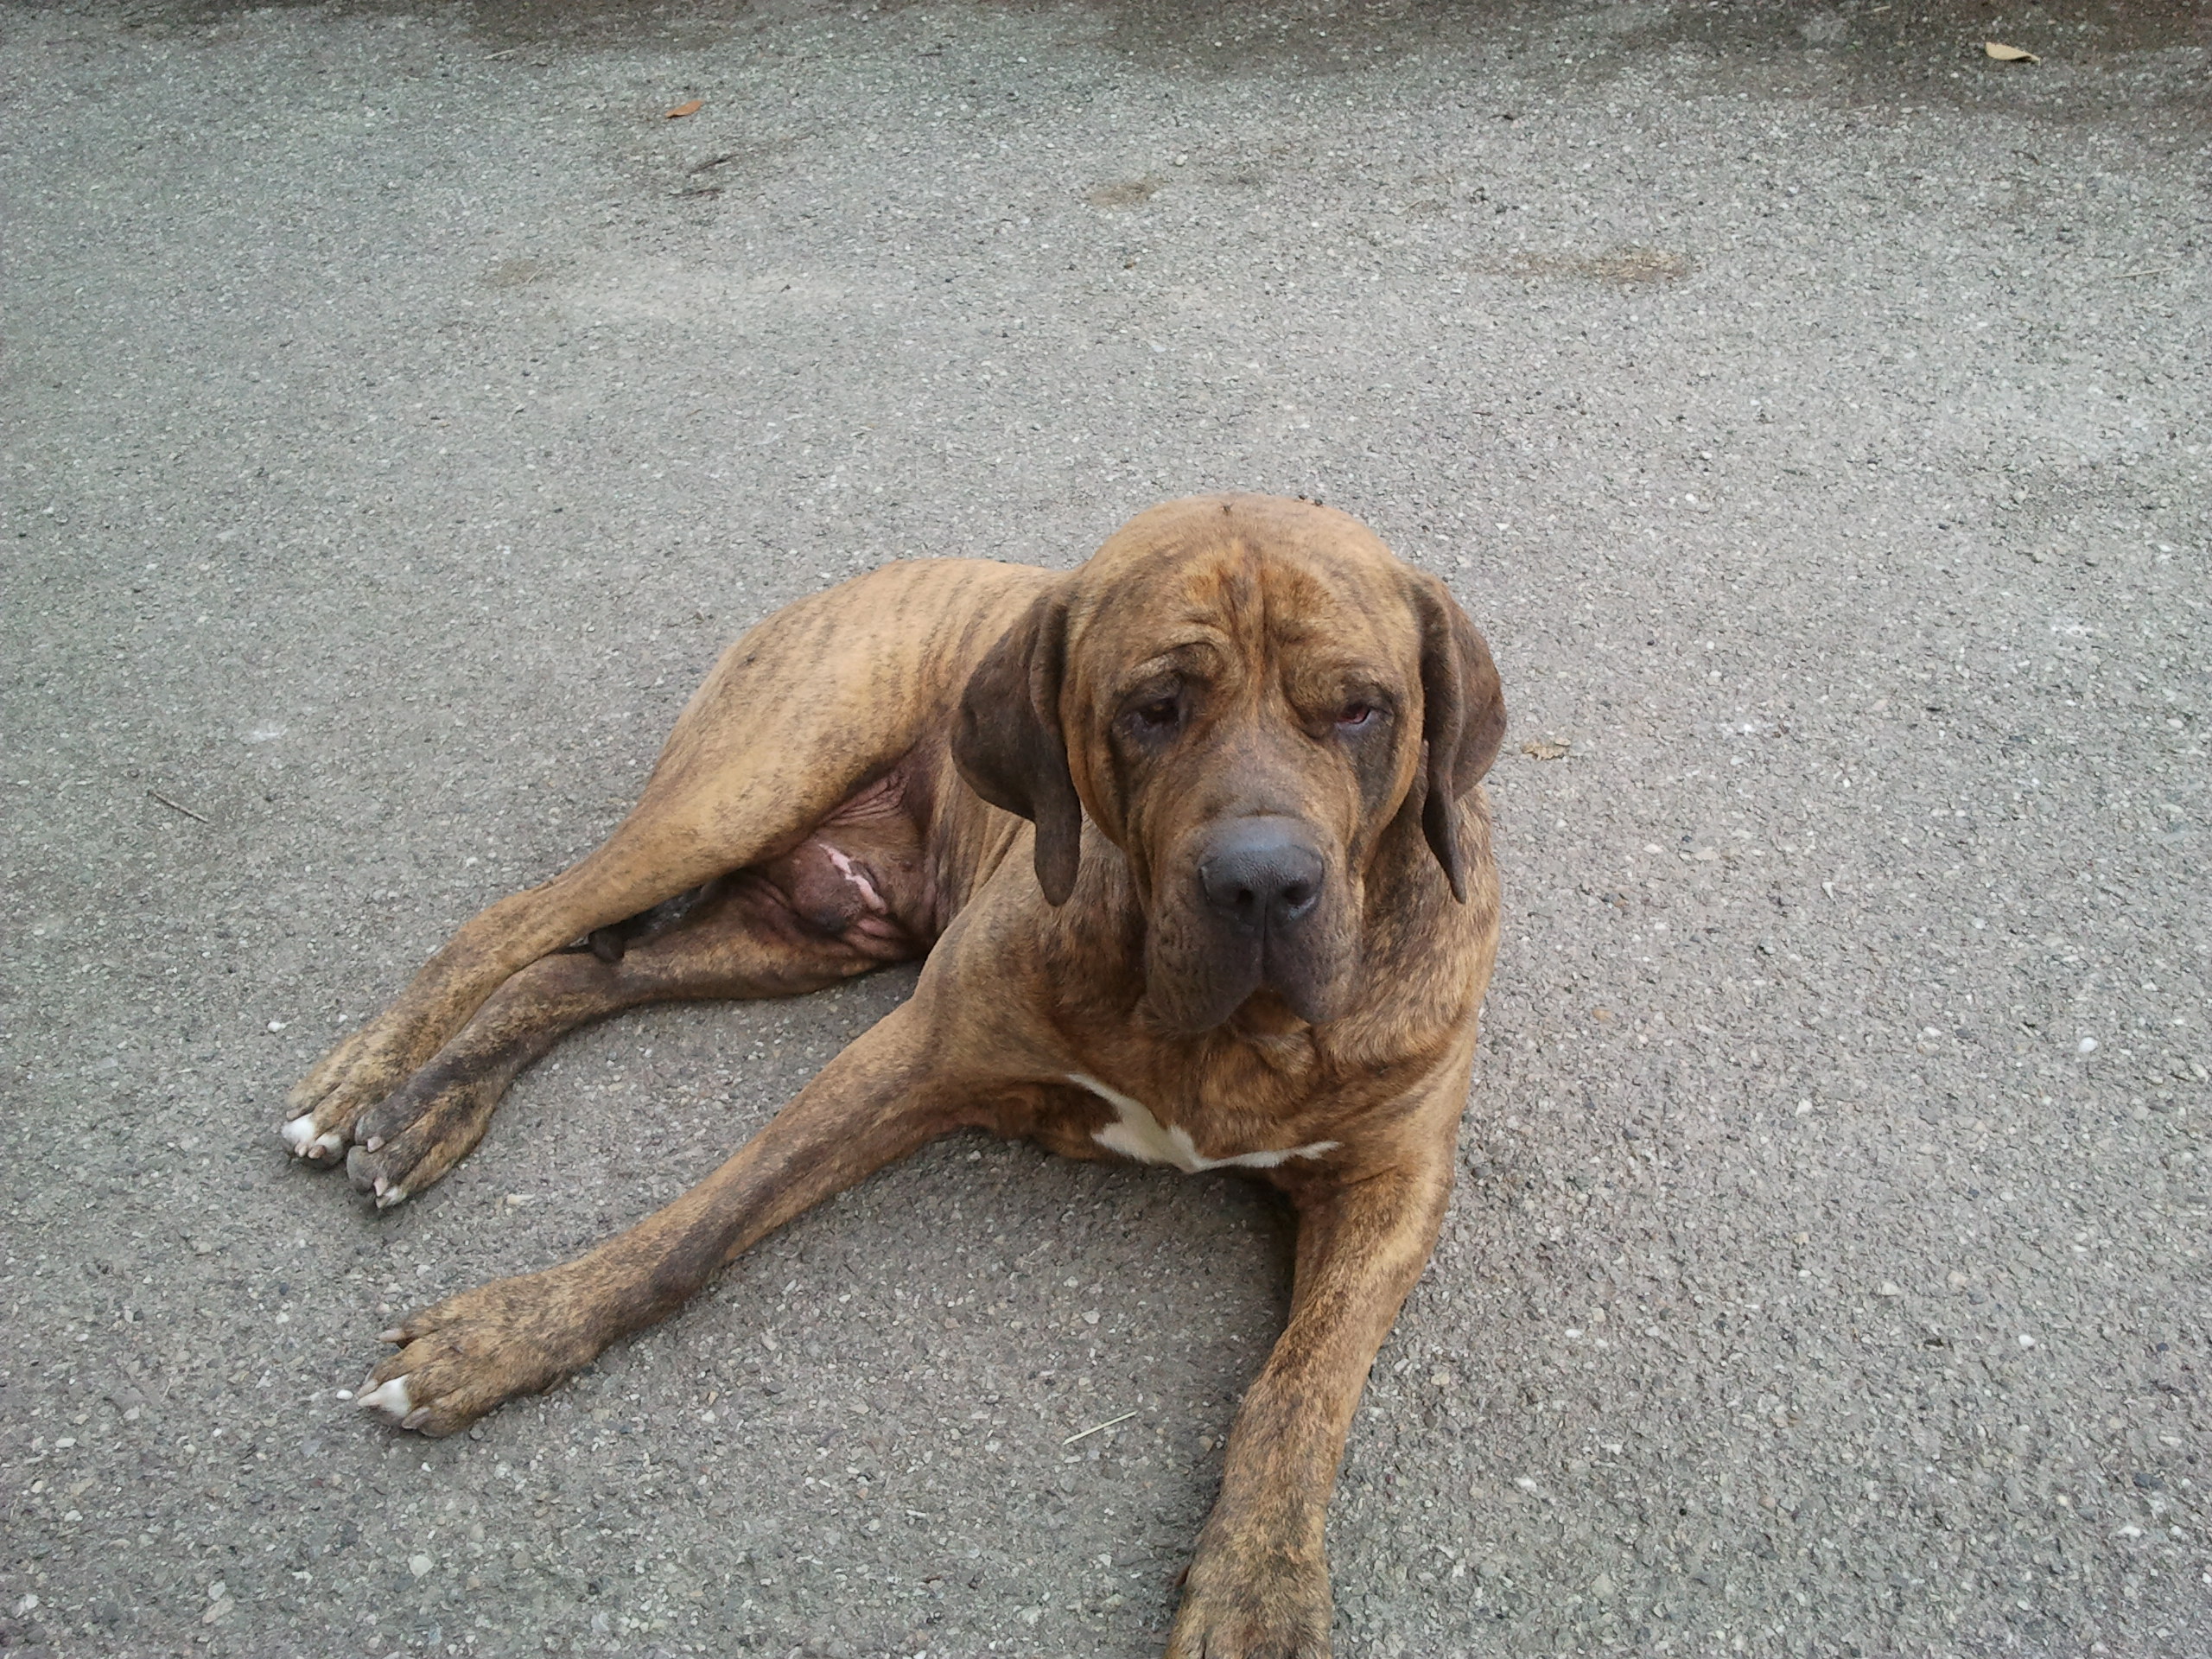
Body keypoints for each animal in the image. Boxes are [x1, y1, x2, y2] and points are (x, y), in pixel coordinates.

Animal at [281, 498, 1503, 1659]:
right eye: (1152, 709)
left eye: (1359, 710)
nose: (1261, 883)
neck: (1227, 1034)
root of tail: (864, 579)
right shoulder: (910, 1054)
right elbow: (696, 1227)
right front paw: (505, 1337)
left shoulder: (1391, 1187)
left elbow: (1304, 1388)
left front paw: (1260, 1592)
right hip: (743, 794)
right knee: (517, 923)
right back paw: (362, 1084)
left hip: (795, 938)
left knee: (577, 973)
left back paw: (433, 1108)